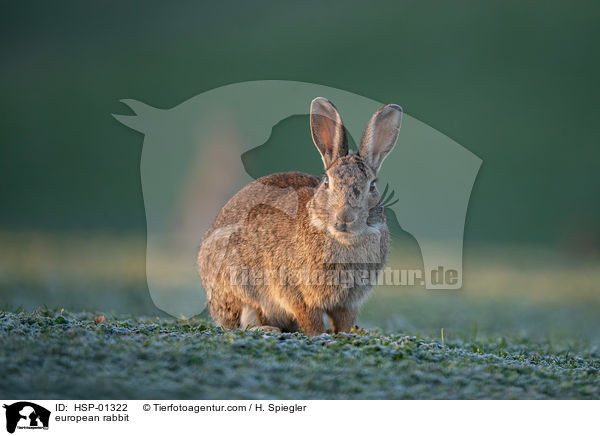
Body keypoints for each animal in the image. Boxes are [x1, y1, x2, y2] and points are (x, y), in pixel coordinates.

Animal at [198, 97, 404, 336]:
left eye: (372, 186)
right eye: (326, 182)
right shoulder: (296, 292)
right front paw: (319, 335)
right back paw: (267, 329)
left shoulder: (348, 301)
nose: (345, 217)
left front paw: (340, 334)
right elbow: (310, 318)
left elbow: (343, 321)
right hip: (236, 284)